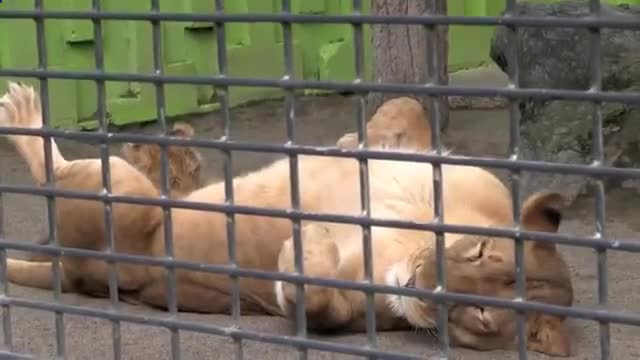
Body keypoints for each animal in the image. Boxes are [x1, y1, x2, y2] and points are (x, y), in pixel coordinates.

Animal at [0, 83, 572, 356]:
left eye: (480, 316)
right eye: (477, 252)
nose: (419, 285)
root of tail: (76, 272)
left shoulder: (358, 310)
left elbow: (318, 307)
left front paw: (305, 249)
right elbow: (408, 107)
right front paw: (354, 139)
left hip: (124, 192)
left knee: (57, 168)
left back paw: (23, 111)